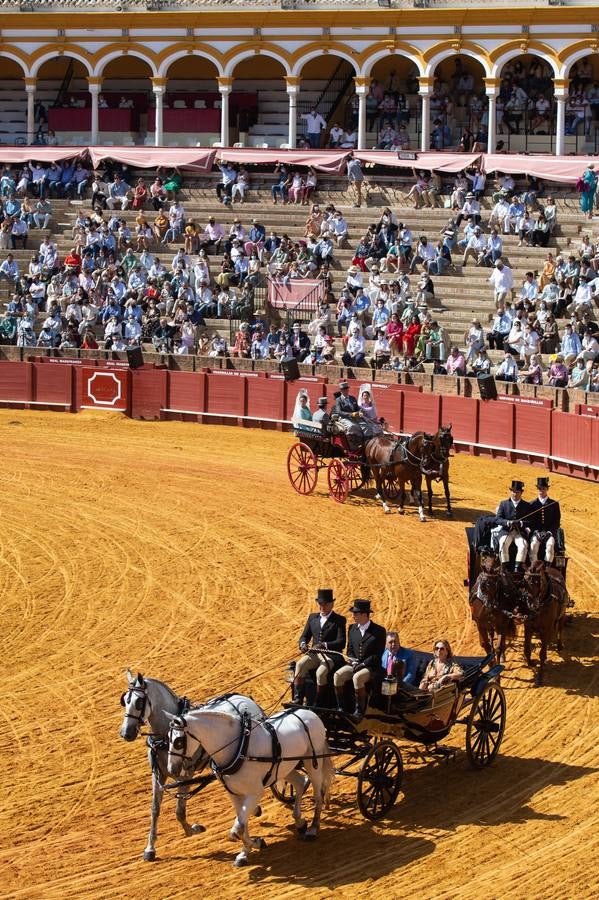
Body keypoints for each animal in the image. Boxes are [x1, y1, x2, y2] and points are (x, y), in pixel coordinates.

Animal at [119, 672, 264, 860]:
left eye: (138, 702)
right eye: (124, 700)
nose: (126, 733)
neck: (165, 737)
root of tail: (244, 698)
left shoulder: (184, 775)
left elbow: (179, 811)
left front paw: (193, 829)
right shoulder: (158, 775)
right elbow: (155, 810)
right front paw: (150, 848)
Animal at [166, 708, 336, 868]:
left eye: (179, 742)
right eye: (167, 739)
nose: (172, 770)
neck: (239, 748)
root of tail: (309, 712)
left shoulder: (255, 793)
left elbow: (237, 830)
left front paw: (256, 844)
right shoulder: (234, 793)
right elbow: (242, 824)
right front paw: (245, 853)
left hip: (312, 763)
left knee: (319, 793)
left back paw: (312, 829)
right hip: (286, 767)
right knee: (301, 782)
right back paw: (300, 822)